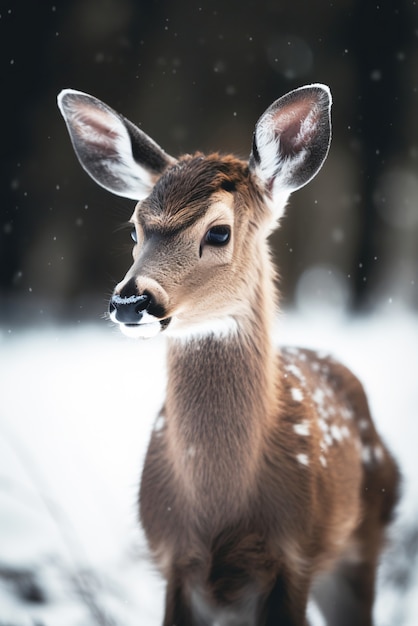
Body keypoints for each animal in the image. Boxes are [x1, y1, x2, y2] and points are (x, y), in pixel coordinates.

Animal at [58, 84, 398, 624]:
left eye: (218, 231)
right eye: (133, 229)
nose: (130, 302)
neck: (219, 510)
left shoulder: (294, 553)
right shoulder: (174, 560)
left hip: (365, 537)